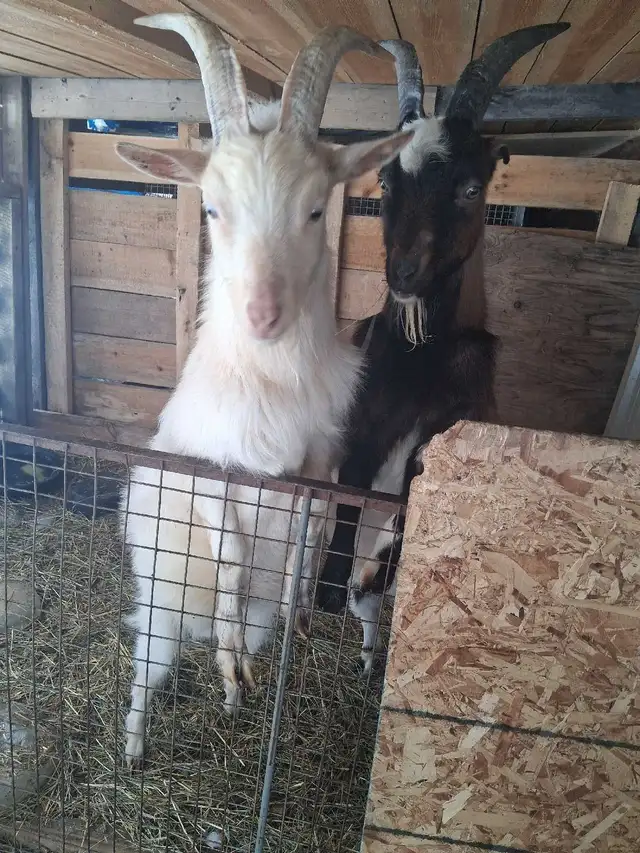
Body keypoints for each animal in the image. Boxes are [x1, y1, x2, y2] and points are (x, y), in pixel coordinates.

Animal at [116, 12, 412, 767]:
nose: (263, 314)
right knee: (149, 666)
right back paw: (139, 742)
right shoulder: (208, 472)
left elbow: (311, 534)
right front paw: (229, 656)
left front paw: (300, 610)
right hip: (161, 607)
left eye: (314, 210)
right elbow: (231, 558)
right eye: (214, 209)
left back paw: (237, 685)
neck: (270, 380)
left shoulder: (320, 463)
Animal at [316, 23, 570, 673]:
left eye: (471, 187)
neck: (419, 365)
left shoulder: (435, 449)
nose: (403, 273)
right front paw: (325, 594)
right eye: (385, 180)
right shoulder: (361, 434)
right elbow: (346, 508)